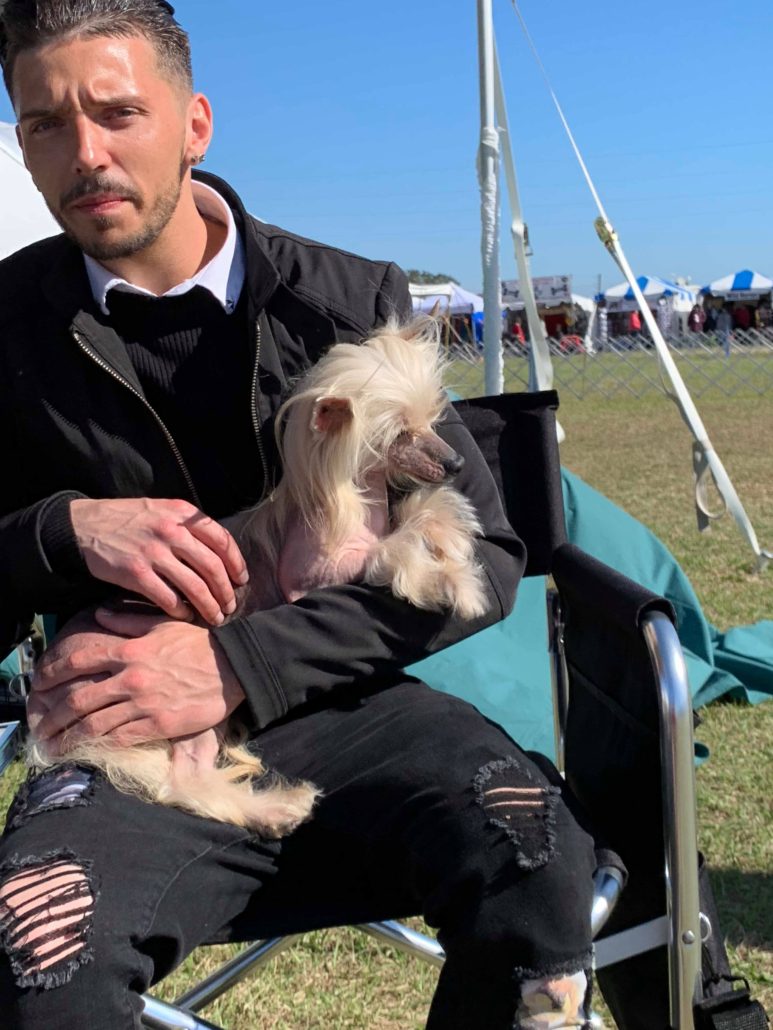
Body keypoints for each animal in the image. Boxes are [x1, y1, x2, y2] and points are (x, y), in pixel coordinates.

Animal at [27, 318, 487, 836]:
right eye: (399, 434)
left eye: (432, 420)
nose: (456, 463)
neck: (344, 496)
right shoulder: (313, 576)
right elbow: (394, 543)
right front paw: (453, 584)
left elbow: (423, 510)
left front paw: (454, 546)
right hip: (181, 714)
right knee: (183, 781)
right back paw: (277, 809)